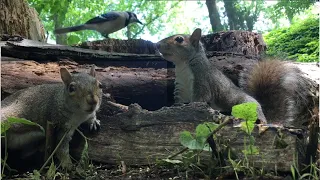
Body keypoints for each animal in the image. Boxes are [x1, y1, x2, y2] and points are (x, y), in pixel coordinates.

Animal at [156, 27, 316, 126]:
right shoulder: (180, 87)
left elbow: (200, 99)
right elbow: (179, 101)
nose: (157, 45)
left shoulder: (203, 80)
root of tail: (267, 119)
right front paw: (173, 107)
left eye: (179, 39)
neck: (182, 65)